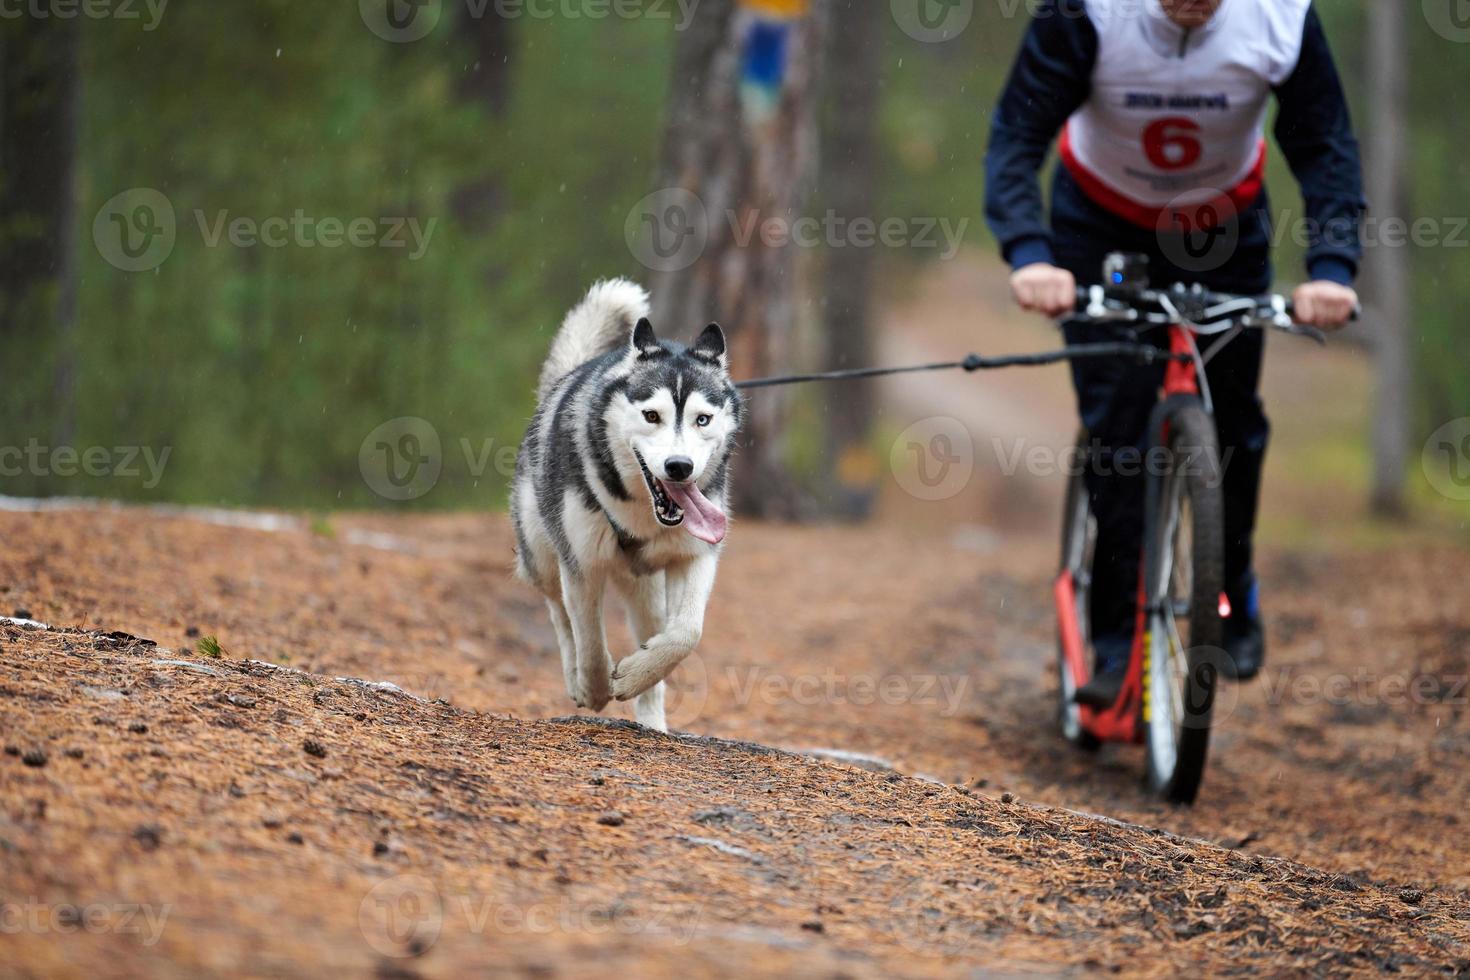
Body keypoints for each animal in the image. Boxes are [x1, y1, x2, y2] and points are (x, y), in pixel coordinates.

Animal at [517, 279, 746, 731]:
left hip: (647, 594)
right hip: (542, 554)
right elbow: (588, 639)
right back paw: (576, 675)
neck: (644, 514)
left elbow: (686, 634)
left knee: (653, 634)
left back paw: (651, 720)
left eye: (703, 419)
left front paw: (634, 676)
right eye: (652, 415)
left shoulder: (696, 555)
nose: (679, 466)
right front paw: (594, 688)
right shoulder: (581, 563)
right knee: (559, 614)